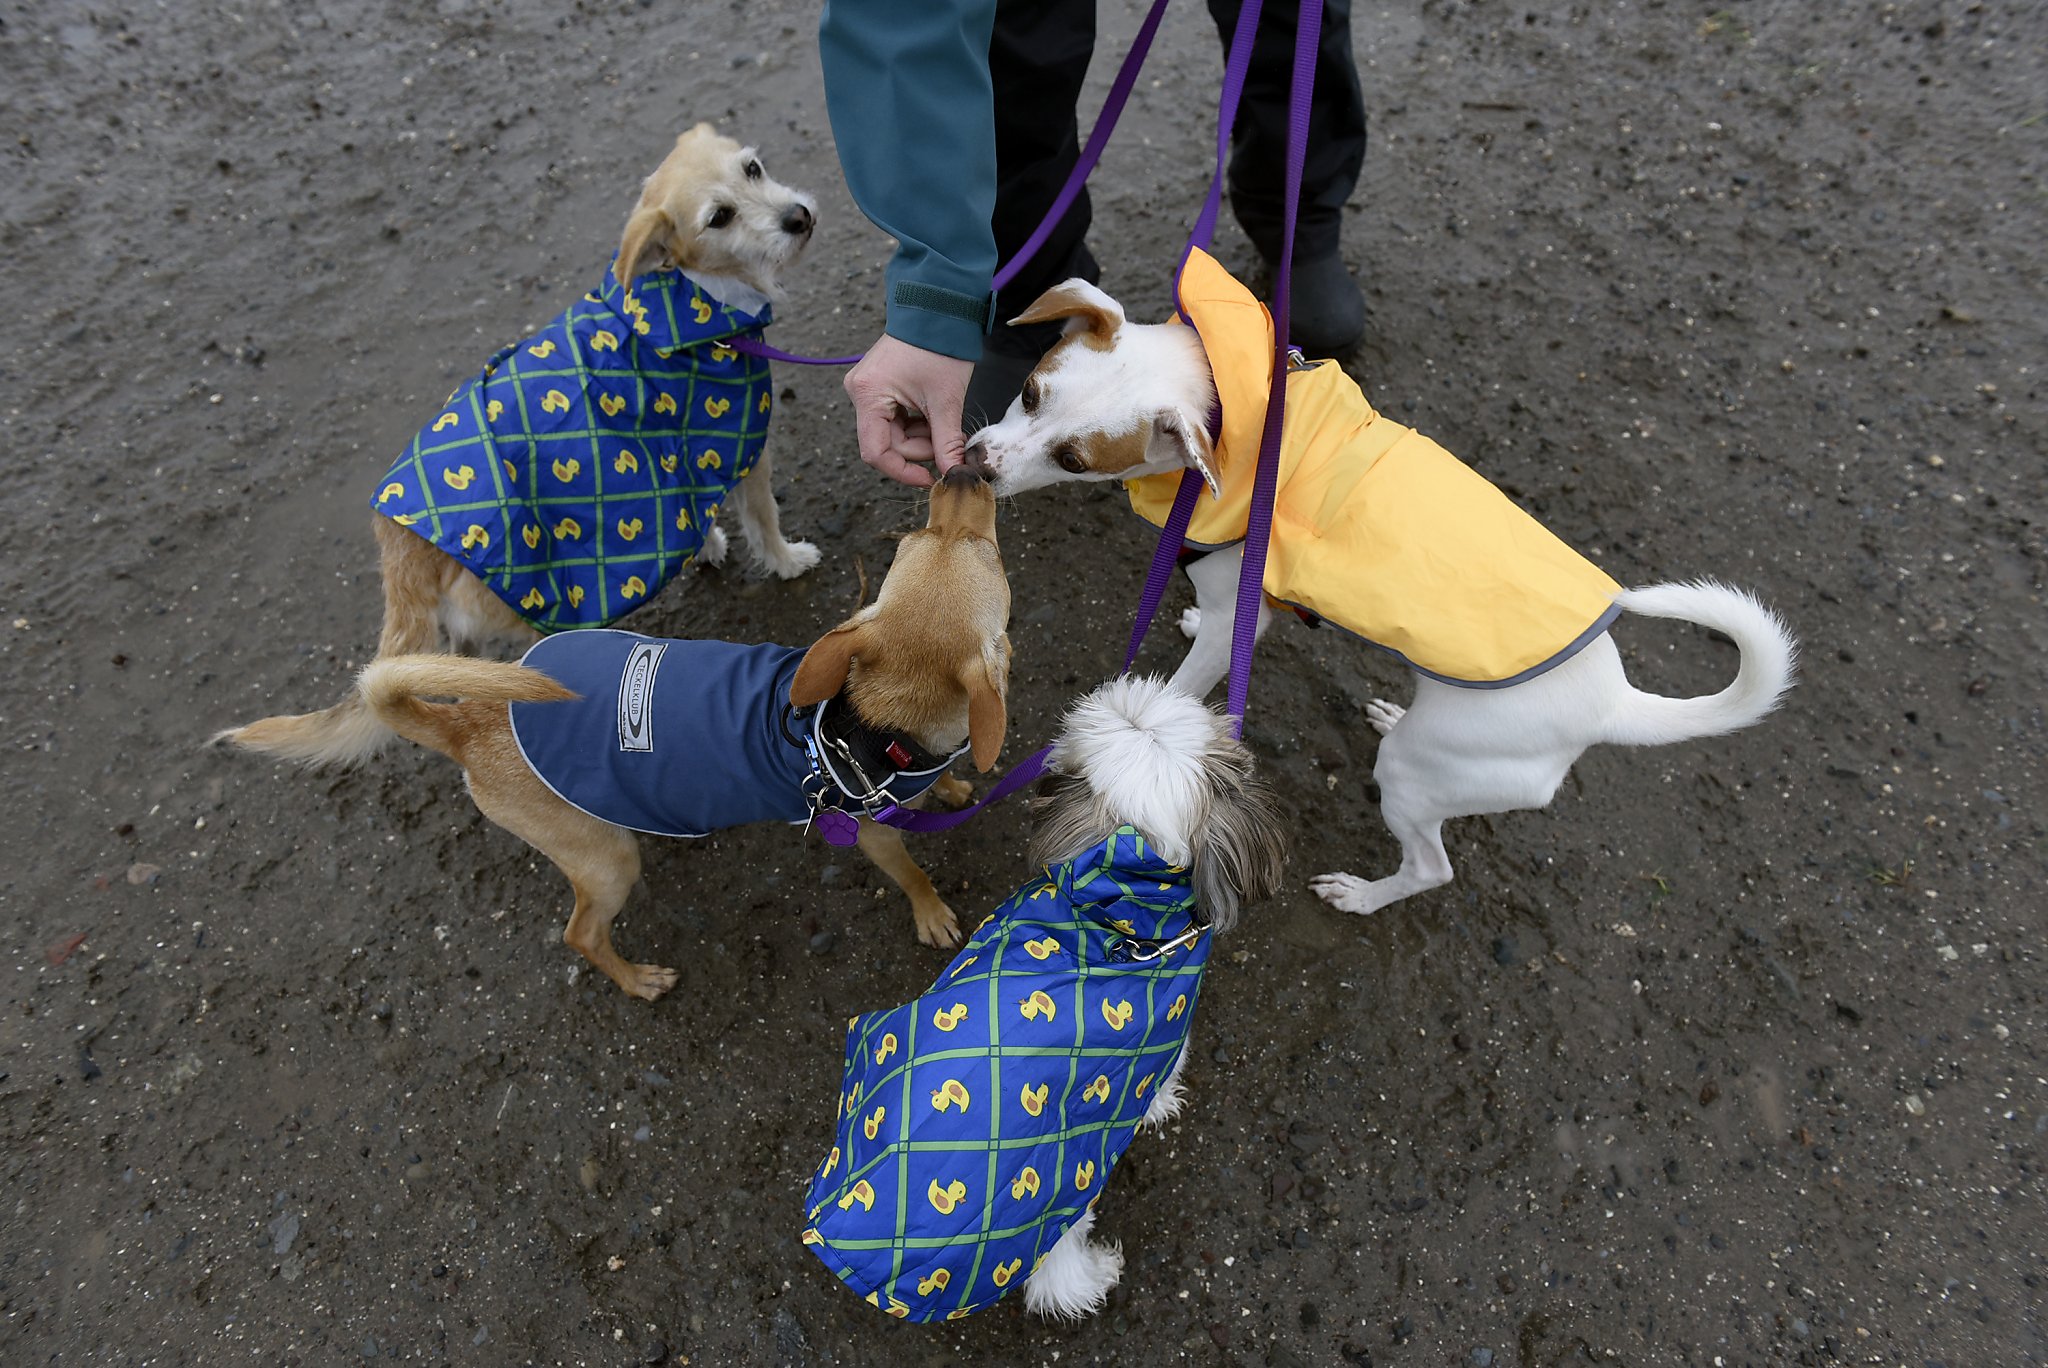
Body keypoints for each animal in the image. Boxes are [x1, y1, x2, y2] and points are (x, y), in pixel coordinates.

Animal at [958, 255, 1794, 917]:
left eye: (1073, 459)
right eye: (1030, 393)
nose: (977, 464)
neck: (1241, 419)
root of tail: (1615, 703)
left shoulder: (1239, 614)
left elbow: (1186, 687)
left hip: (1415, 780)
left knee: (1431, 866)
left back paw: (1363, 895)